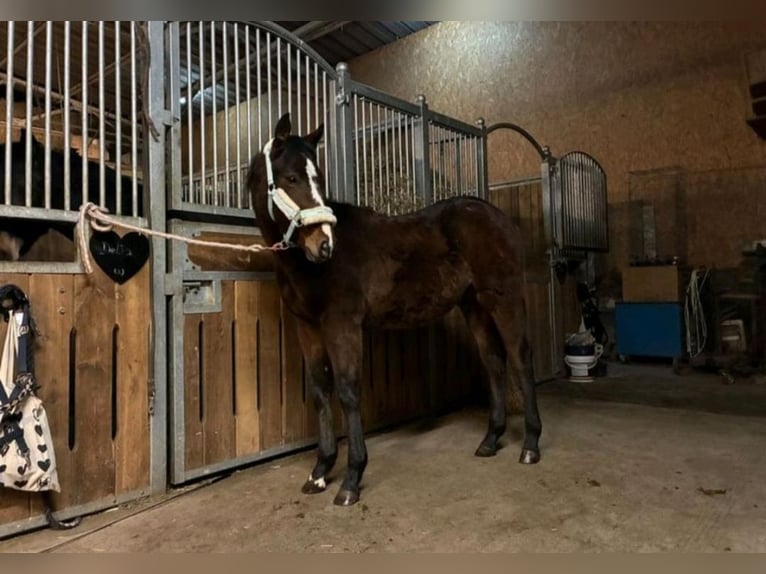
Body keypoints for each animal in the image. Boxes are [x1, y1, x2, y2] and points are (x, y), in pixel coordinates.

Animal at [247, 113, 541, 506]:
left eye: (317, 177)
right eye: (291, 177)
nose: (324, 244)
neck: (309, 267)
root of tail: (500, 217)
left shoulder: (342, 325)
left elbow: (348, 392)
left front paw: (351, 479)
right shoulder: (307, 328)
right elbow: (321, 391)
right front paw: (320, 472)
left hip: (503, 298)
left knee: (520, 358)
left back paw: (531, 445)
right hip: (474, 305)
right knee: (494, 360)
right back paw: (491, 440)